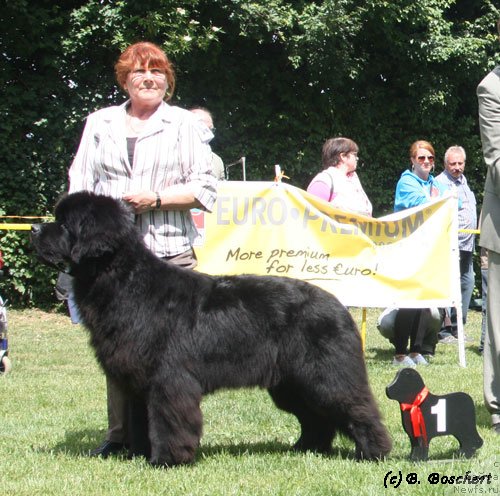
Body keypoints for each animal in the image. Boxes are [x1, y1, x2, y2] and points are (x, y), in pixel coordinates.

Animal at [30, 190, 390, 464]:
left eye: (64, 224)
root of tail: (338, 305)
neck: (124, 280)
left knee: (356, 407)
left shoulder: (169, 379)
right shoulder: (137, 381)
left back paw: (374, 452)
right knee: (316, 416)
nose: (33, 228)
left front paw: (167, 460)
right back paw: (306, 448)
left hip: (324, 375)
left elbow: (168, 421)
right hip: (291, 383)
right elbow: (139, 420)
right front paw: (139, 455)